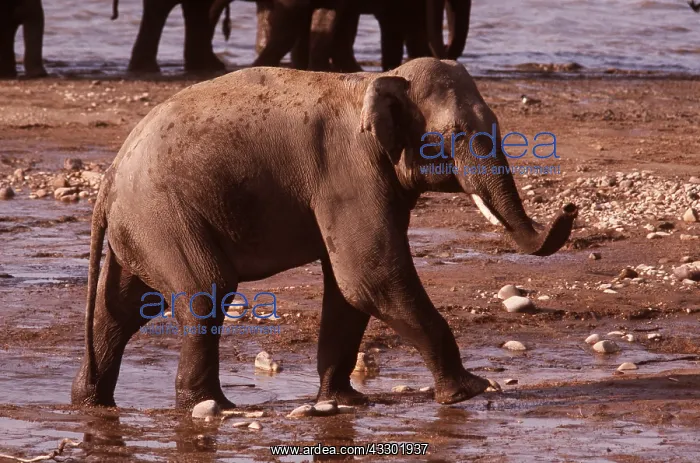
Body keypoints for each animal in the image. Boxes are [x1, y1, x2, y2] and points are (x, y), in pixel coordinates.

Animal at [70, 57, 577, 410]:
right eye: (455, 135)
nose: (569, 207)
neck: (379, 79)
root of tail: (109, 180)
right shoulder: (348, 171)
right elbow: (370, 276)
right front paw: (469, 391)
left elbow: (349, 289)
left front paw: (342, 402)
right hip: (163, 215)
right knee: (204, 289)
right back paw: (212, 406)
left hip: (144, 226)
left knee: (122, 310)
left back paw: (91, 402)